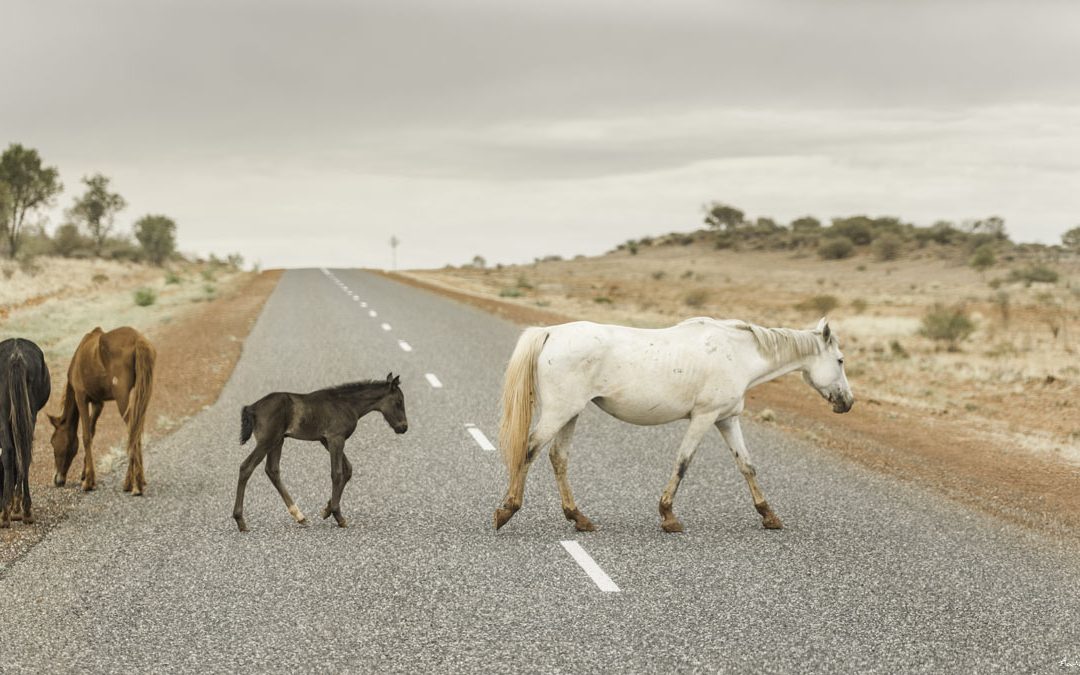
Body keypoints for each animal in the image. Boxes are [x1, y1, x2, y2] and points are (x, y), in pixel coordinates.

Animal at [0, 336, 51, 527]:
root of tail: (16, 355)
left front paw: (14, 507)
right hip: (28, 413)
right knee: (22, 452)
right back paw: (22, 510)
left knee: (14, 452)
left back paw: (11, 512)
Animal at [49, 326, 156, 494]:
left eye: (53, 442)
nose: (57, 479)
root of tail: (138, 339)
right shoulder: (98, 403)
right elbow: (92, 433)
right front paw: (85, 474)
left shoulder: (81, 397)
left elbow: (86, 436)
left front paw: (88, 482)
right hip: (142, 394)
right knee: (136, 429)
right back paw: (138, 480)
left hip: (121, 397)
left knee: (132, 430)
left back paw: (133, 484)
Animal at [233, 371, 408, 529]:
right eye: (399, 402)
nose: (404, 428)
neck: (347, 404)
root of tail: (252, 408)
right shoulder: (335, 438)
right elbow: (337, 473)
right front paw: (338, 516)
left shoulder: (326, 441)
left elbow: (348, 469)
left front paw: (327, 509)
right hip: (267, 441)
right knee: (246, 467)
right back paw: (240, 521)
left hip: (278, 441)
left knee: (272, 470)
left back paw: (300, 516)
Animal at [494, 315, 855, 531]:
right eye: (839, 360)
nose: (848, 403)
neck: (738, 354)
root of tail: (551, 332)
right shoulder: (704, 418)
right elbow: (683, 463)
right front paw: (668, 516)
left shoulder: (727, 420)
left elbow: (747, 467)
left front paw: (769, 515)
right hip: (559, 412)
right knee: (529, 449)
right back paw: (507, 510)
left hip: (571, 413)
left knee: (558, 458)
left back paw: (578, 518)